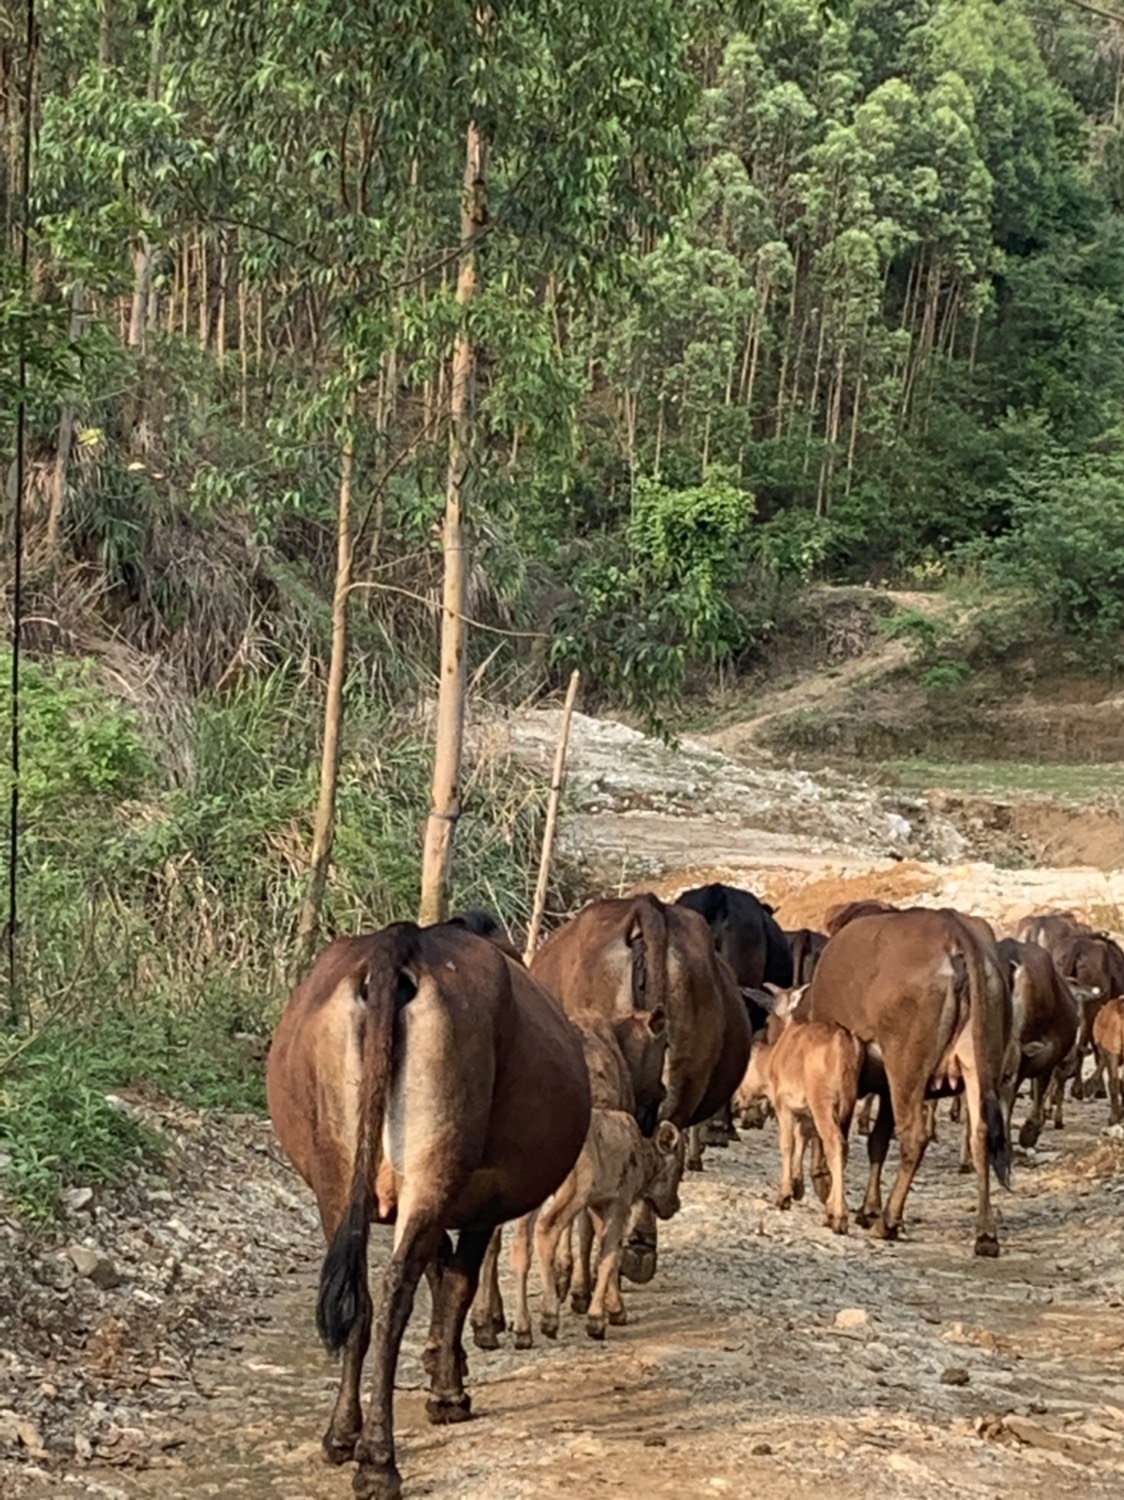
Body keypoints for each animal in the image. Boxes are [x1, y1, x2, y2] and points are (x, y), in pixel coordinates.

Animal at [267, 912, 591, 1500]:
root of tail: (403, 942)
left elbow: (442, 1273)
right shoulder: (483, 1202)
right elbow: (457, 1282)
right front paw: (448, 1389)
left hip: (337, 1177)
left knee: (364, 1297)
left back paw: (344, 1435)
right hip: (434, 1166)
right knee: (397, 1291)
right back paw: (379, 1460)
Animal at [735, 1026, 858, 1236]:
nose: (734, 1102)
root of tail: (840, 1040)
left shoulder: (784, 1106)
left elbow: (787, 1145)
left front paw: (784, 1195)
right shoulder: (805, 1115)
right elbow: (801, 1139)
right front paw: (797, 1185)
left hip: (823, 1105)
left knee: (834, 1144)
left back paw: (838, 1216)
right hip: (846, 1109)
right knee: (843, 1149)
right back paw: (831, 1211)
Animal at [798, 912, 1008, 1254]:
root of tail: (953, 930)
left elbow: (835, 1132)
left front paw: (831, 1193)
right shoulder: (886, 1088)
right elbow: (878, 1141)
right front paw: (867, 1207)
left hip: (906, 1071)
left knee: (913, 1138)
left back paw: (888, 1221)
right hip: (976, 1066)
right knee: (981, 1136)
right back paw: (986, 1234)